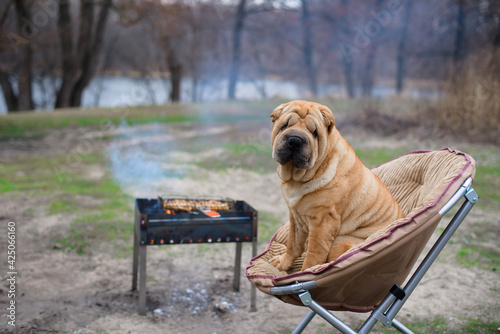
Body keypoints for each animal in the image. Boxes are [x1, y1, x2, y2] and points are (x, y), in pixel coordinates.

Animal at [268, 99, 404, 272]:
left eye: (314, 132)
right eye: (284, 125)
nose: (295, 140)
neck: (297, 178)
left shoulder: (323, 221)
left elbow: (313, 254)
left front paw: (306, 272)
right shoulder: (296, 218)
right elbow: (293, 244)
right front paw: (282, 263)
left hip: (339, 243)